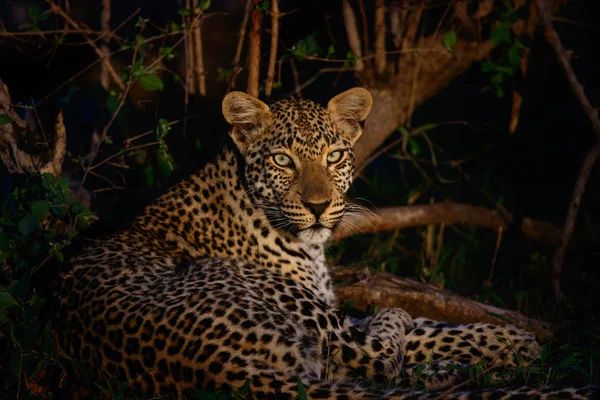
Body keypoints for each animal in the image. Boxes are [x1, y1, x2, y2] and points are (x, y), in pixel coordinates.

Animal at [55, 88, 596, 400]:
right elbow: (416, 331)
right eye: (283, 160)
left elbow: (434, 324)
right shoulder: (324, 313)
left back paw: (447, 370)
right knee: (380, 355)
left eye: (334, 155)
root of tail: (215, 368)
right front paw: (515, 342)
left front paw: (508, 335)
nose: (318, 207)